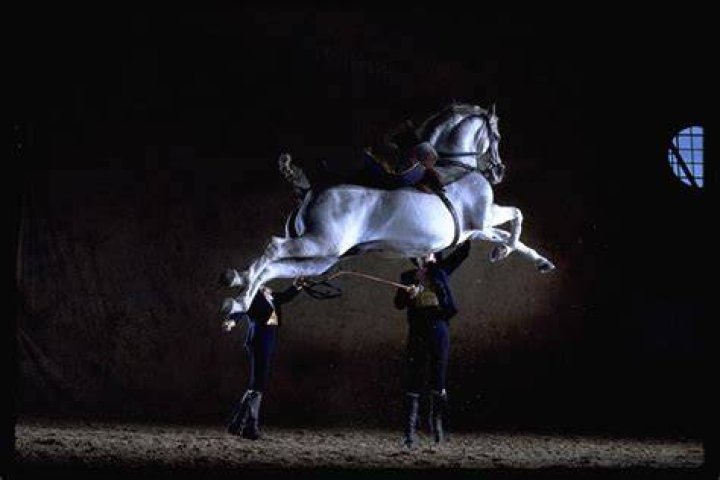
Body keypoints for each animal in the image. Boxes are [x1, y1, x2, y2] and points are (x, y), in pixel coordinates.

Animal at [220, 103, 555, 326]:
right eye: (496, 135)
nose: (499, 171)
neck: (455, 167)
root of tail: (309, 192)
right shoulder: (483, 218)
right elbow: (517, 216)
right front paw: (503, 252)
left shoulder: (476, 229)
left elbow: (512, 233)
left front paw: (535, 260)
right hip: (319, 243)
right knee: (273, 248)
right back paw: (239, 289)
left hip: (320, 259)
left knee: (274, 269)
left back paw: (237, 296)